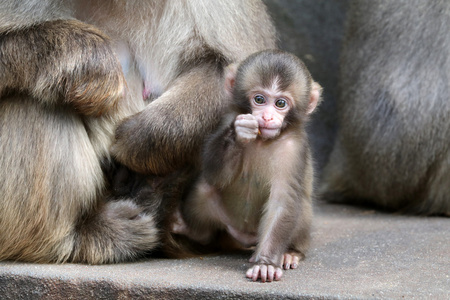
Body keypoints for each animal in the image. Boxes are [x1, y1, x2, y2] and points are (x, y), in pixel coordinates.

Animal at [0, 0, 276, 262]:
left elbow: (227, 66)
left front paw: (138, 138)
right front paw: (87, 57)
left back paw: (154, 195)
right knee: (31, 98)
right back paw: (76, 239)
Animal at [171, 49, 322, 282]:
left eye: (280, 103)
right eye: (259, 99)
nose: (266, 117)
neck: (263, 140)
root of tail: (246, 236)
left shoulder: (293, 148)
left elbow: (283, 199)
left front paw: (266, 264)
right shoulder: (226, 119)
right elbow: (216, 175)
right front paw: (239, 133)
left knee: (301, 207)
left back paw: (290, 253)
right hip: (227, 223)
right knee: (205, 188)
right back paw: (194, 231)